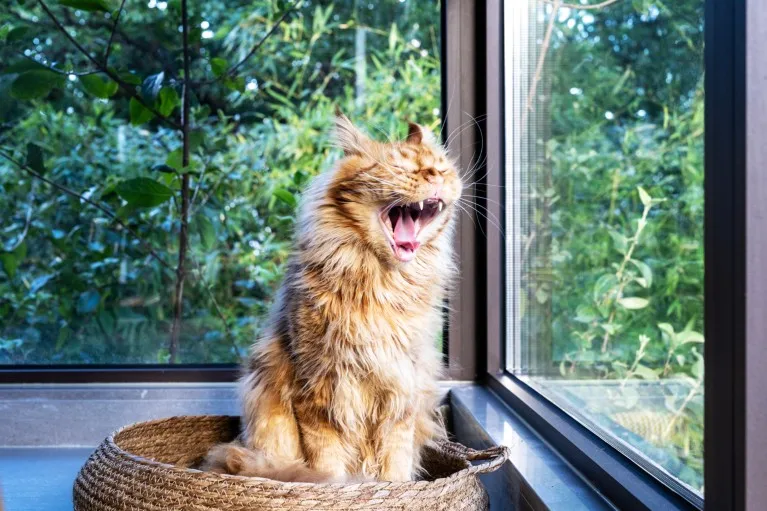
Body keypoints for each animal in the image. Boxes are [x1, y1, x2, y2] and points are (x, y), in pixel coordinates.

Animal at [201, 112, 462, 484]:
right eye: (399, 167)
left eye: (441, 168)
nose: (434, 176)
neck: (380, 286)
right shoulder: (317, 391)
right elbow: (327, 467)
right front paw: (342, 489)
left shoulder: (402, 392)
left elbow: (395, 465)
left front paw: (393, 489)